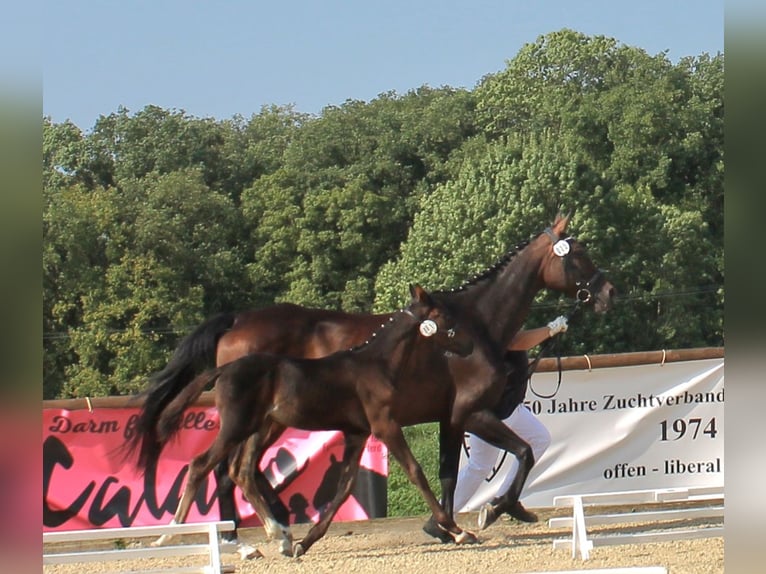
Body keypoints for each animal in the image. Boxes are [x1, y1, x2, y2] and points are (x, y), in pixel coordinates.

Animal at [134, 286, 480, 556]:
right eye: (445, 317)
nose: (470, 346)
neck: (375, 364)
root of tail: (224, 369)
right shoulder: (385, 426)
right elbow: (415, 472)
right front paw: (458, 531)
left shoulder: (357, 433)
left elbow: (345, 486)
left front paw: (305, 542)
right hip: (237, 427)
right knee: (202, 466)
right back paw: (169, 536)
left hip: (257, 427)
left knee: (239, 471)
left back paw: (280, 536)